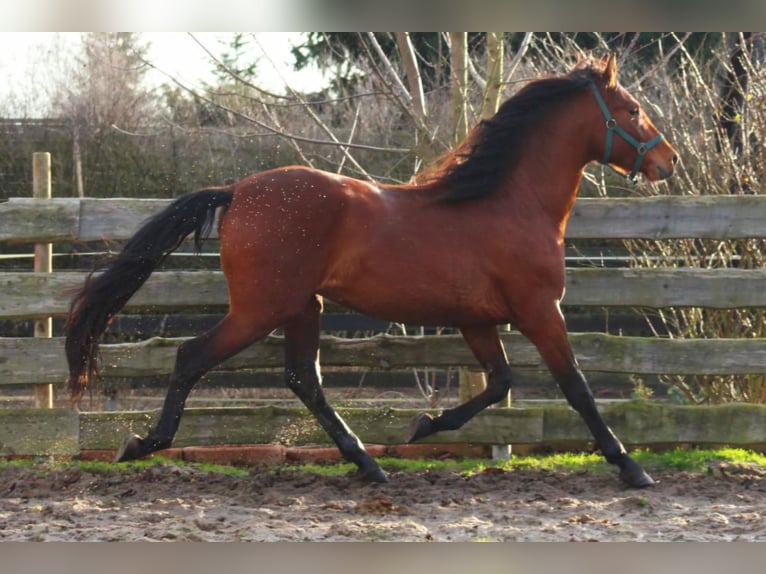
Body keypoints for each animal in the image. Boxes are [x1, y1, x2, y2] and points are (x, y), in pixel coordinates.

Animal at [64, 54, 680, 488]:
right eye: (631, 110)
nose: (667, 160)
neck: (511, 203)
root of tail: (237, 190)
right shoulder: (539, 311)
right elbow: (575, 387)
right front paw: (632, 468)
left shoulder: (478, 320)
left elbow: (500, 382)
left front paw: (423, 425)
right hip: (261, 309)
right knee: (193, 357)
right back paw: (141, 444)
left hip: (301, 307)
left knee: (302, 379)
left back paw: (367, 462)